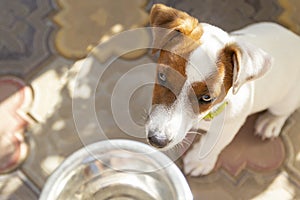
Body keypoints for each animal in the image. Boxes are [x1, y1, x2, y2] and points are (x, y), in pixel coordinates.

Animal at [145, 3, 300, 176]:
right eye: (162, 76)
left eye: (207, 97)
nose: (157, 140)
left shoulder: (229, 127)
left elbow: (215, 143)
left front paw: (199, 162)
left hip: (286, 99)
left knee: (284, 111)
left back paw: (270, 122)